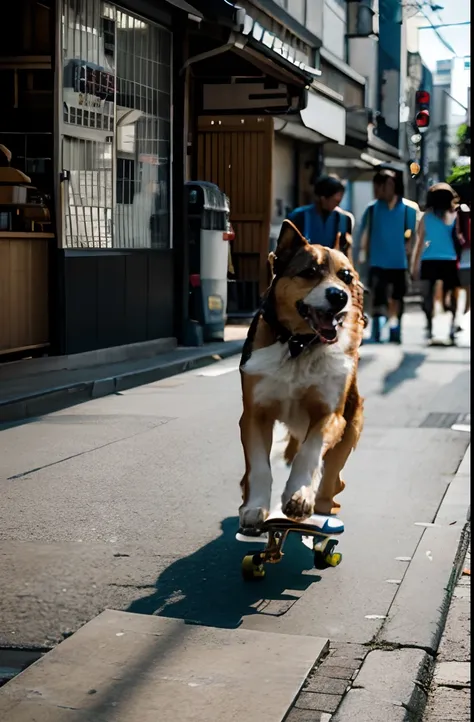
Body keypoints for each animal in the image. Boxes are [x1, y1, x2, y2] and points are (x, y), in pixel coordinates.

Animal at [239, 219, 364, 528]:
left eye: (346, 276)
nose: (339, 295)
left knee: (332, 479)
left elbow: (310, 451)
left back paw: (322, 508)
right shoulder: (254, 413)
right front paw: (255, 507)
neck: (298, 345)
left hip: (352, 425)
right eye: (309, 272)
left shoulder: (331, 414)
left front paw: (298, 496)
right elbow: (258, 465)